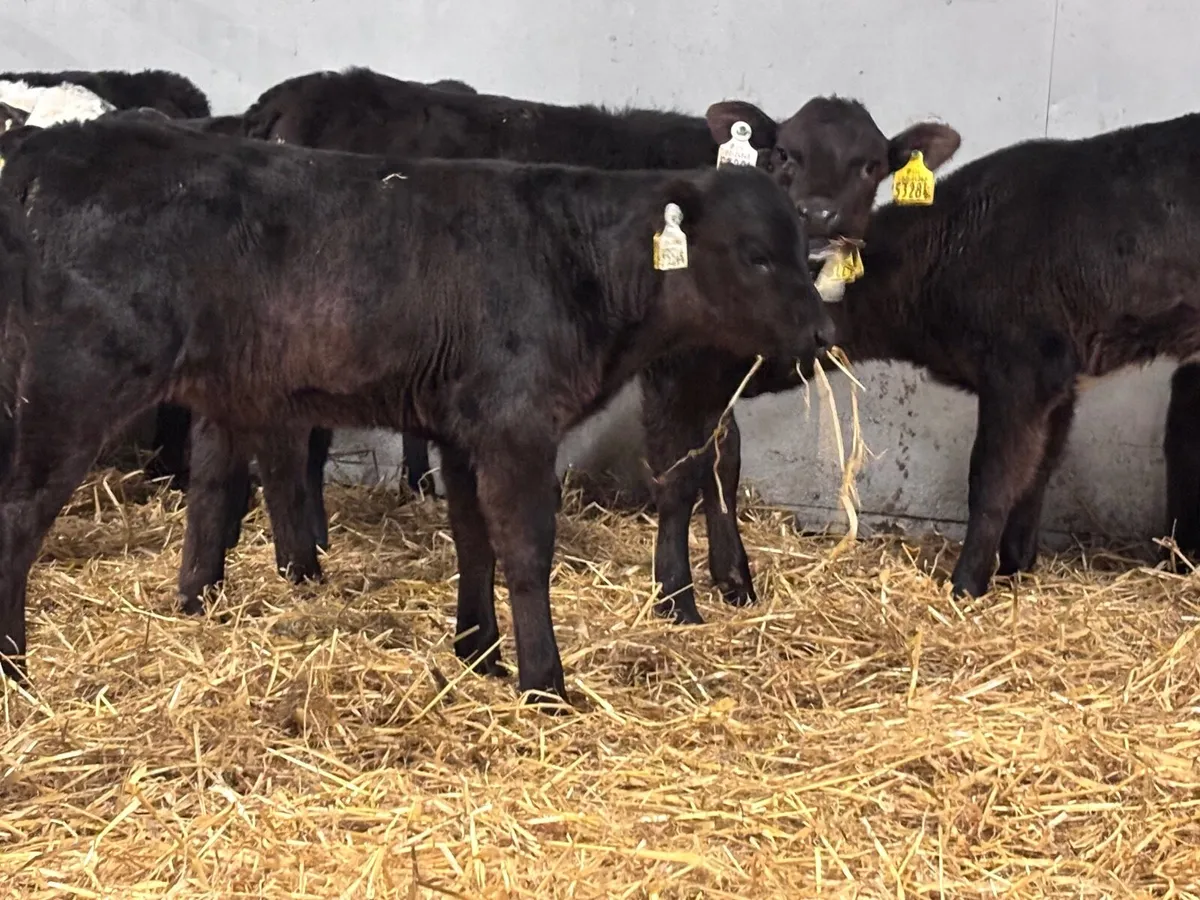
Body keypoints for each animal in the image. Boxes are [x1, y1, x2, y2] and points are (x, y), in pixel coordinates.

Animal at [0, 116, 833, 706]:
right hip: (76, 383)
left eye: (804, 249)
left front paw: (479, 652)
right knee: (18, 519)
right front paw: (545, 683)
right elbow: (526, 549)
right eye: (756, 254)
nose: (822, 333)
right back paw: (14, 673)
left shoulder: (463, 427)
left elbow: (473, 540)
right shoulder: (516, 421)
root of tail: (53, 148)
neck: (577, 259)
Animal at [197, 66, 958, 621]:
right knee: (282, 439)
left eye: (869, 165)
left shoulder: (715, 368)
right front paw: (677, 597)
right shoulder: (671, 366)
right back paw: (296, 563)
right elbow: (678, 469)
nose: (818, 215)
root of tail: (287, 97)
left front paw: (735, 579)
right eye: (787, 155)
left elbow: (725, 460)